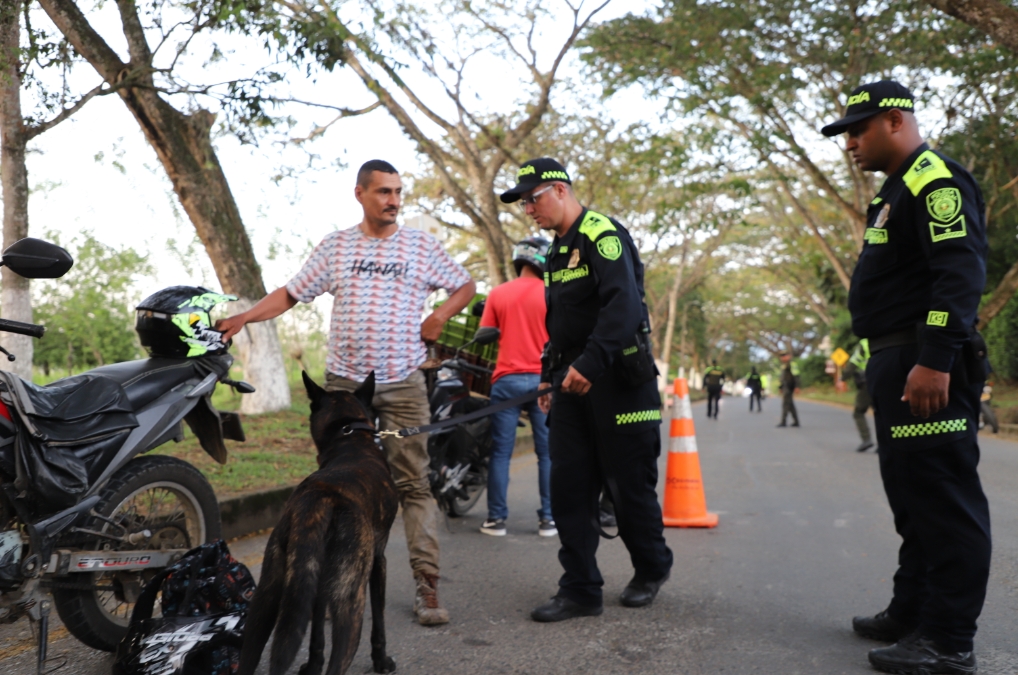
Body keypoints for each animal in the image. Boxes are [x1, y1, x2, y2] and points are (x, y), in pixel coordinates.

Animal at [237, 372, 397, 675]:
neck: (350, 438)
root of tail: (318, 499)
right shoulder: (379, 561)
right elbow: (381, 620)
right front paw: (382, 661)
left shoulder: (316, 581)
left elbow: (316, 634)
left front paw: (312, 664)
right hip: (350, 603)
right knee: (339, 661)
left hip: (266, 597)